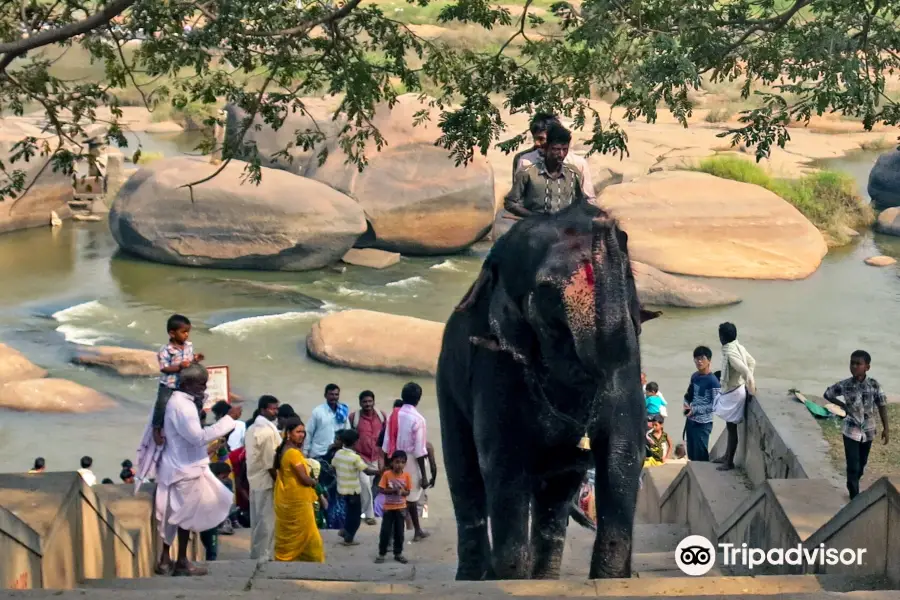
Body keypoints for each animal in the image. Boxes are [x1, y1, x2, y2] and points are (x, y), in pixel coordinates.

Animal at [436, 202, 660, 580]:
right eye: (546, 291)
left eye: (627, 276)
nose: (603, 220)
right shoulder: (497, 363)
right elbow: (504, 462)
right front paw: (509, 579)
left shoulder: (628, 362)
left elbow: (623, 452)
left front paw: (611, 579)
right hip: (446, 386)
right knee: (465, 474)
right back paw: (472, 578)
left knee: (555, 498)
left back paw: (543, 578)